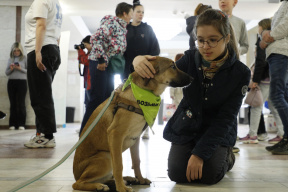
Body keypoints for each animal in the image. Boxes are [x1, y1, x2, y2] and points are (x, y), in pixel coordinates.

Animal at [72, 56, 194, 191]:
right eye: (172, 67)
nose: (192, 79)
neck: (143, 93)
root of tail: (76, 175)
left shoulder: (135, 138)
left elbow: (136, 161)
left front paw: (140, 179)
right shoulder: (115, 134)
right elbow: (118, 165)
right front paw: (121, 188)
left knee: (106, 178)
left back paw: (125, 180)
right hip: (105, 156)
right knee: (78, 183)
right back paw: (101, 186)